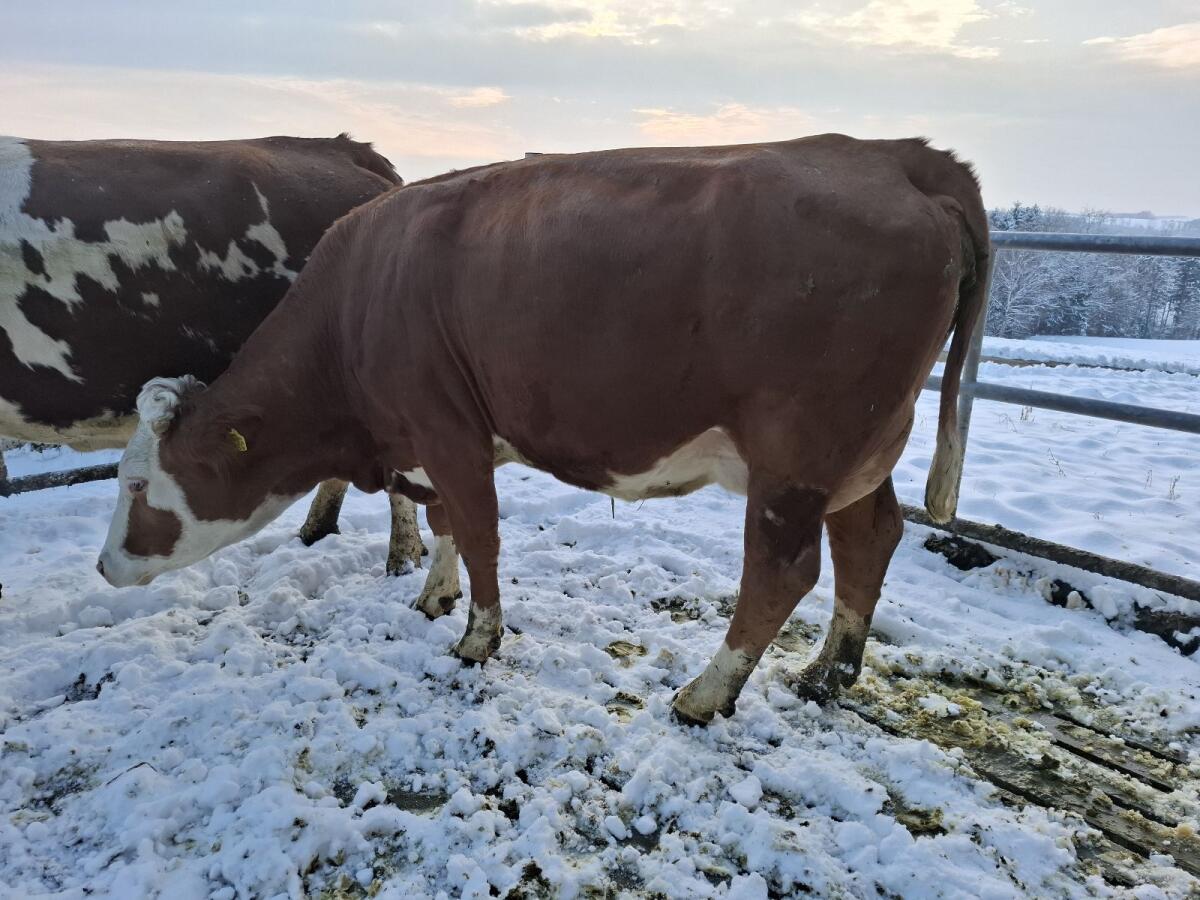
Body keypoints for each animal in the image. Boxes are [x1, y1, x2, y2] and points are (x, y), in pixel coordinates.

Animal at [96, 134, 989, 725]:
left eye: (138, 482)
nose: (104, 567)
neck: (353, 310)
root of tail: (890, 154)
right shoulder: (429, 442)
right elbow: (446, 524)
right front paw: (434, 596)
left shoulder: (448, 428)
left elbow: (481, 533)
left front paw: (476, 639)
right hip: (859, 451)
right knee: (870, 537)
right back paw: (829, 671)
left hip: (797, 454)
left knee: (782, 570)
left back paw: (706, 693)